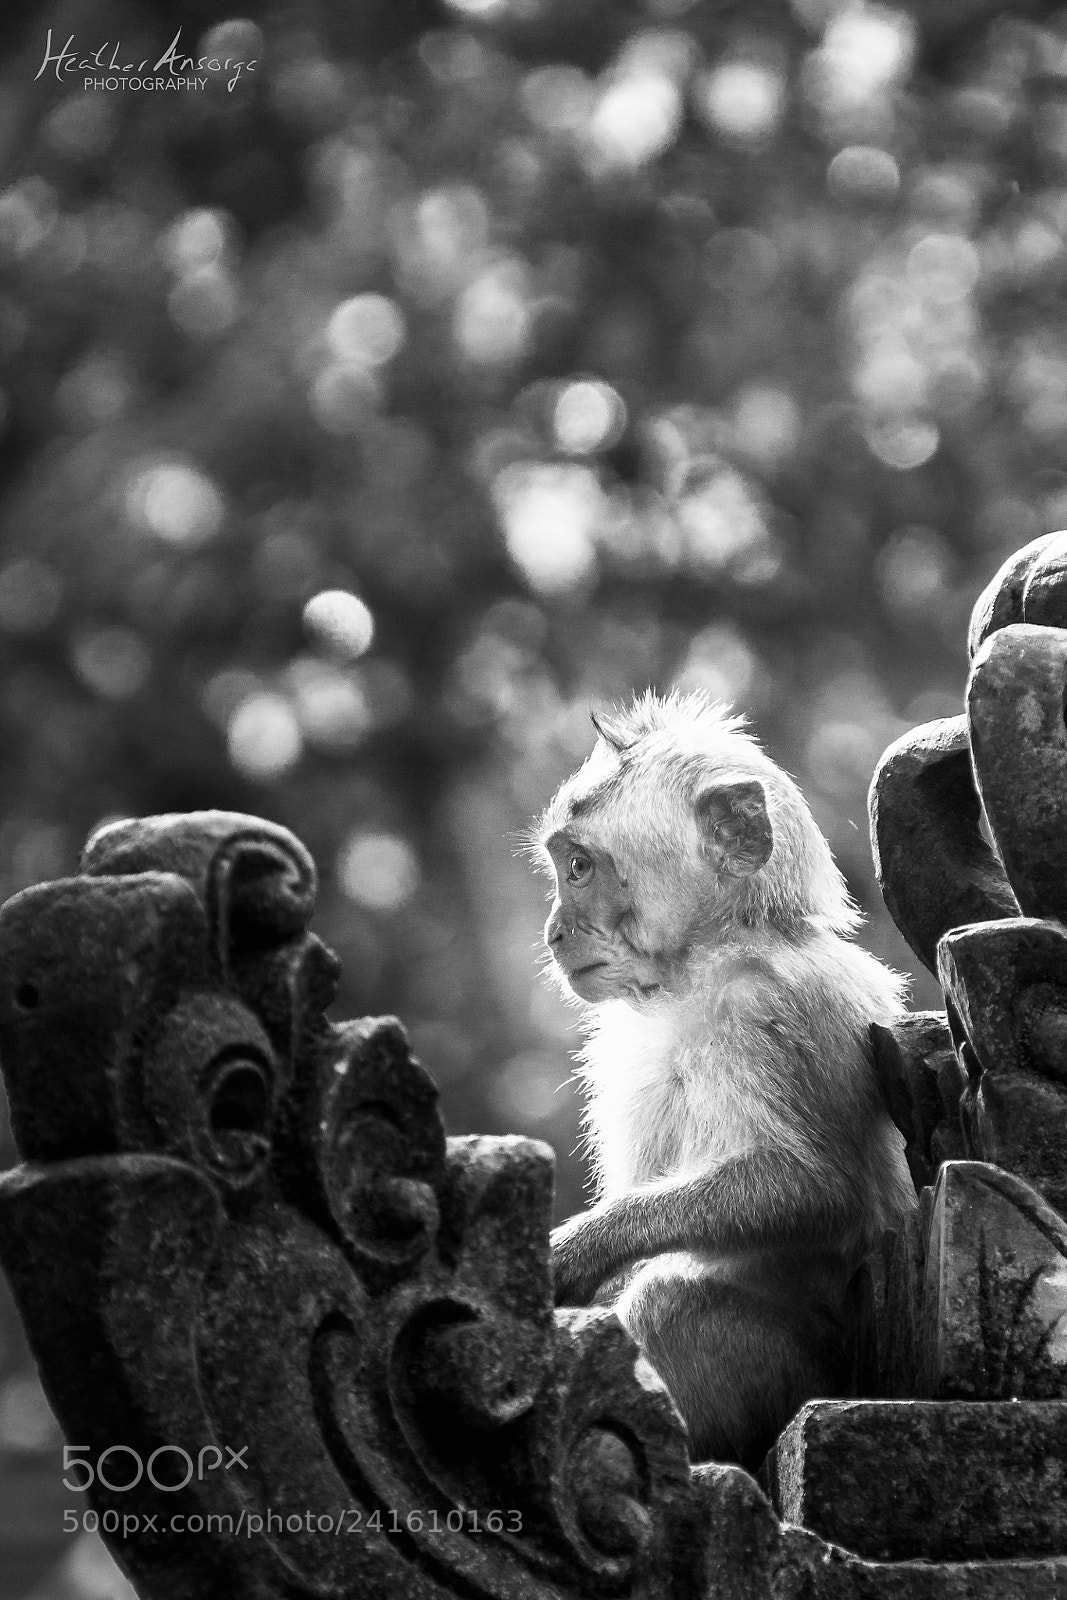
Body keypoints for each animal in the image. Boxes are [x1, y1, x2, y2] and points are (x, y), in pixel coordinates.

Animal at [530, 690, 916, 1471]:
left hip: (798, 1376)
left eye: (580, 867)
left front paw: (583, 1248)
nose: (555, 932)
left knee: (668, 1306)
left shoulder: (764, 1012)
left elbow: (810, 1187)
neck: (705, 959)